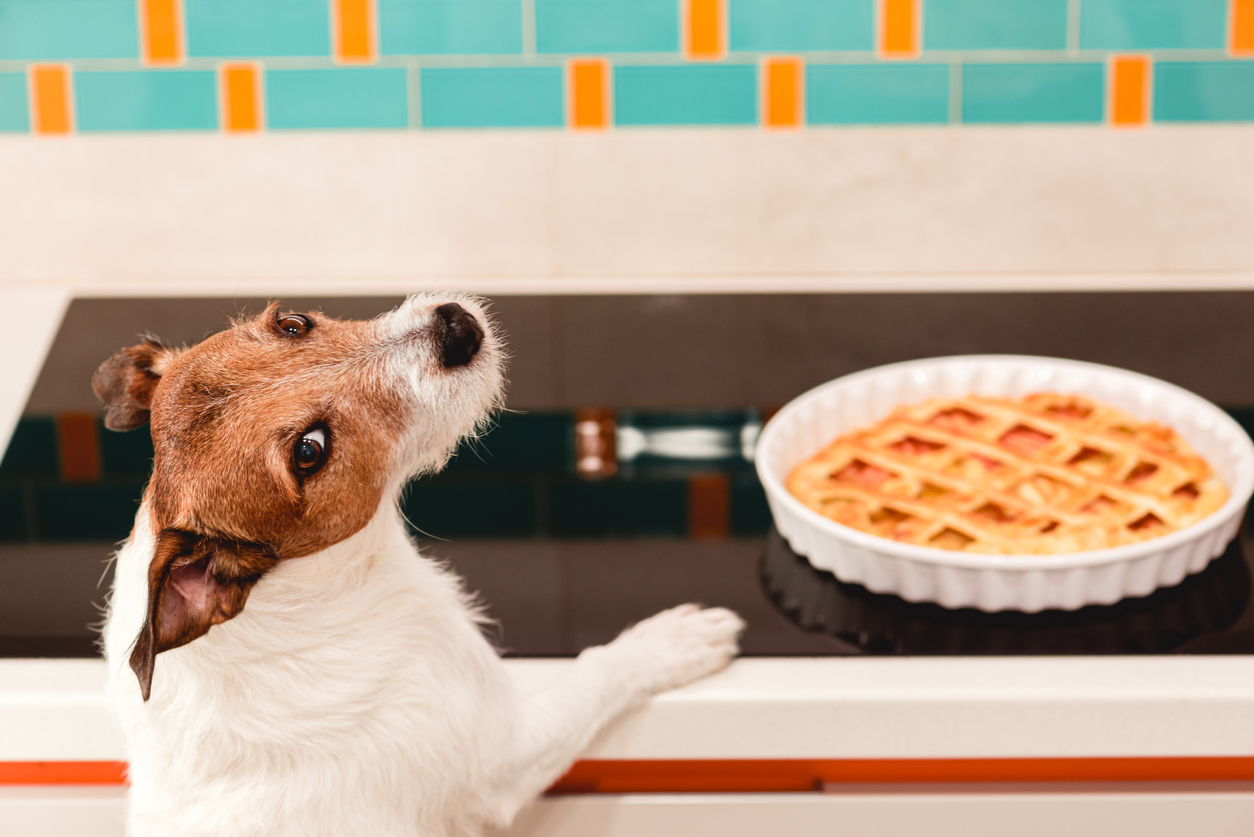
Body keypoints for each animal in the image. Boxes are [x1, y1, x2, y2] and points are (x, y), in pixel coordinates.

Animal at [97, 294, 742, 837]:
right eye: (310, 450)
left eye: (292, 323)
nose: (455, 327)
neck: (316, 589)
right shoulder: (502, 755)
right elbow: (598, 670)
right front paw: (671, 641)